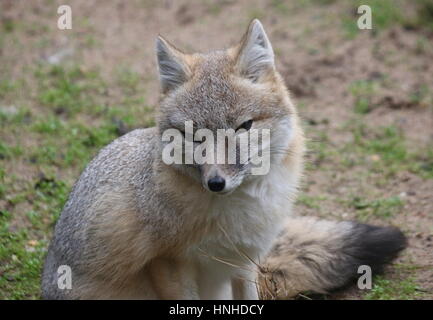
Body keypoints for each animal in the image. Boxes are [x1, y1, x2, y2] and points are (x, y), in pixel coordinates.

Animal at [40, 20, 404, 300]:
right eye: (194, 135)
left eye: (244, 127)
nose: (215, 182)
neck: (236, 212)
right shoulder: (167, 263)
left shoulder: (244, 262)